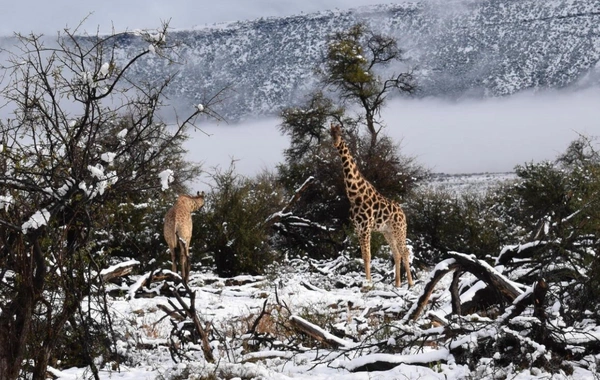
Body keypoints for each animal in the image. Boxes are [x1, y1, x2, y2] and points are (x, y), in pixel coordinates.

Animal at [328, 124, 412, 288]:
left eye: (341, 133)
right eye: (330, 133)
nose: (335, 143)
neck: (355, 194)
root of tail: (403, 213)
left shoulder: (365, 227)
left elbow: (368, 256)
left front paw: (367, 284)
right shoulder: (358, 228)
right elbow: (363, 256)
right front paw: (367, 283)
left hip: (399, 229)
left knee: (404, 251)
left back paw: (411, 284)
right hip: (388, 232)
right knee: (396, 253)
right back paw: (397, 285)